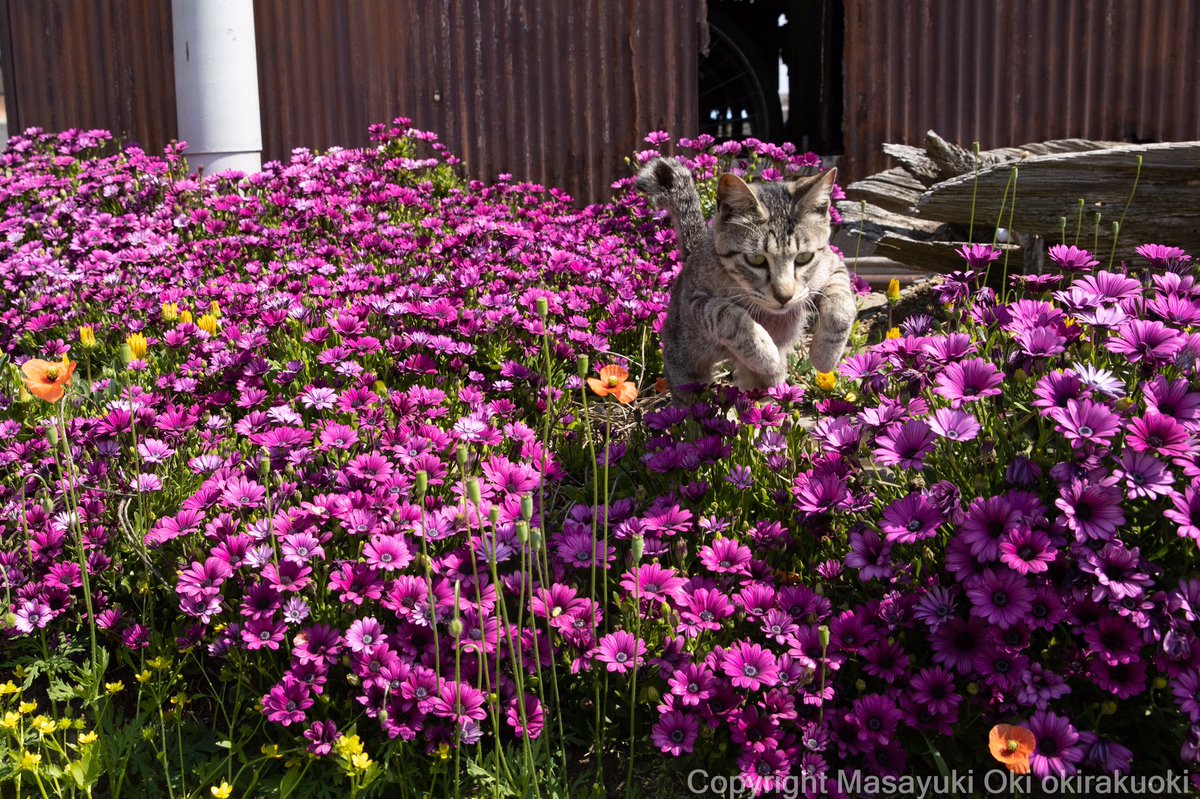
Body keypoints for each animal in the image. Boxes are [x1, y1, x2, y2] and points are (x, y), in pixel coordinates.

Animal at [638, 155, 854, 388]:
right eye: (755, 259)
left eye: (804, 257)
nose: (784, 297)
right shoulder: (697, 302)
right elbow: (730, 316)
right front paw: (765, 351)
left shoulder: (833, 265)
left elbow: (843, 306)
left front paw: (825, 355)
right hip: (684, 368)